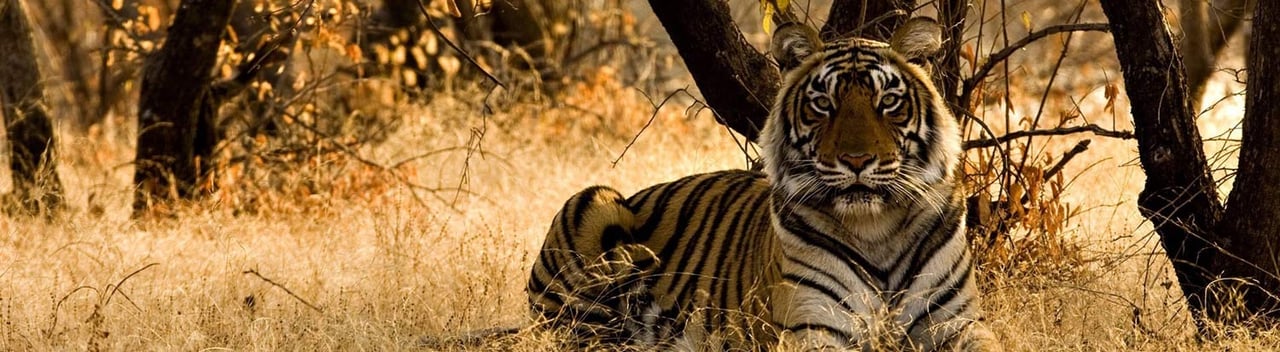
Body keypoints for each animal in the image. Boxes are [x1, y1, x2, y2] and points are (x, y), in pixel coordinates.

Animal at [524, 20, 993, 352]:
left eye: (888, 102)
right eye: (823, 104)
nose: (857, 161)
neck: (875, 229)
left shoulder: (959, 324)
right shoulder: (811, 326)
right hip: (592, 205)